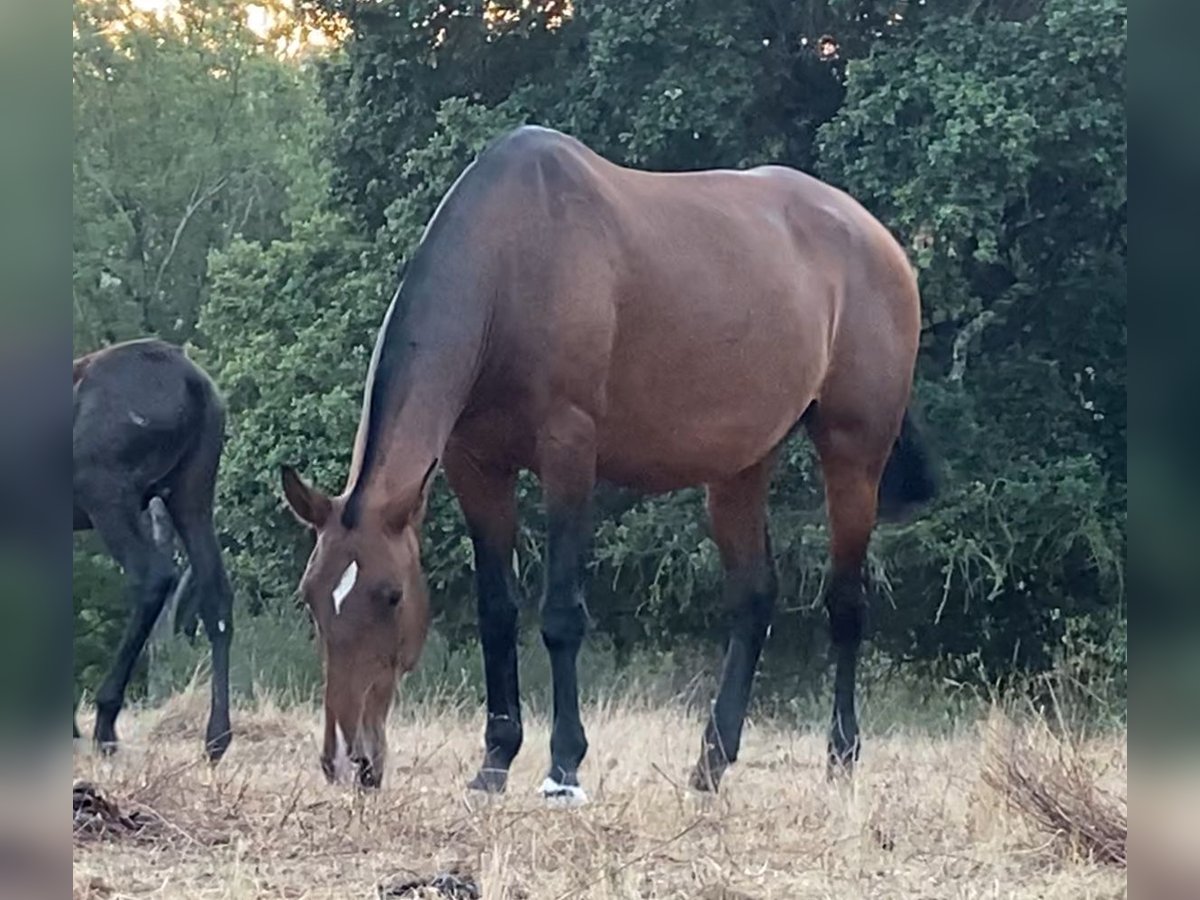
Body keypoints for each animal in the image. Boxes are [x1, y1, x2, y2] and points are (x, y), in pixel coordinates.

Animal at [73, 338, 234, 761]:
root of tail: (194, 384)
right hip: (192, 496)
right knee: (216, 597)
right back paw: (217, 737)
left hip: (108, 495)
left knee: (153, 577)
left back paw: (106, 724)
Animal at [280, 125, 936, 797]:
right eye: (311, 597)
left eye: (389, 596)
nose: (348, 760)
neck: (513, 260)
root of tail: (882, 242)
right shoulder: (476, 467)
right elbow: (497, 612)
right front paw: (494, 762)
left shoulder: (568, 453)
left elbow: (561, 615)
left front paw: (563, 767)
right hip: (740, 465)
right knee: (753, 600)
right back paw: (710, 763)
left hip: (853, 454)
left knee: (846, 604)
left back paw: (841, 757)